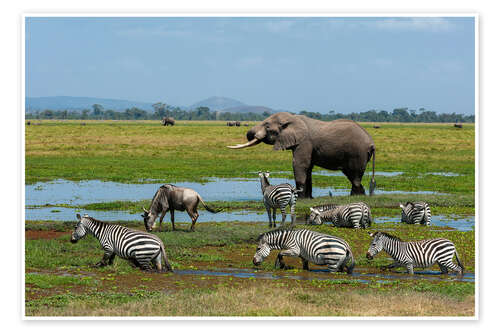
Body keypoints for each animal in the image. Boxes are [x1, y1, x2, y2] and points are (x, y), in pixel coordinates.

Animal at [227, 111, 376, 197]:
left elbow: (299, 164)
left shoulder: (304, 142)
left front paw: (301, 198)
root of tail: (372, 143)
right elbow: (308, 167)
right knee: (353, 177)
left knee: (355, 177)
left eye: (267, 126)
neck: (293, 118)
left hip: (357, 154)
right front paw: (308, 198)